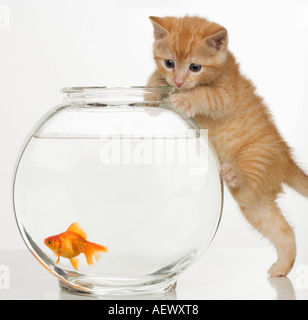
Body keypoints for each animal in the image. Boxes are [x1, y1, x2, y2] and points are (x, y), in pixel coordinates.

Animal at [147, 15, 308, 276]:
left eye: (195, 67)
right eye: (169, 63)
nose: (179, 82)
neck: (223, 69)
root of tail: (287, 159)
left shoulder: (227, 94)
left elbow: (205, 94)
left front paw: (185, 99)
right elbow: (157, 78)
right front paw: (151, 93)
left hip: (256, 157)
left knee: (247, 187)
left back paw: (234, 174)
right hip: (256, 207)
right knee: (282, 229)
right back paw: (282, 268)